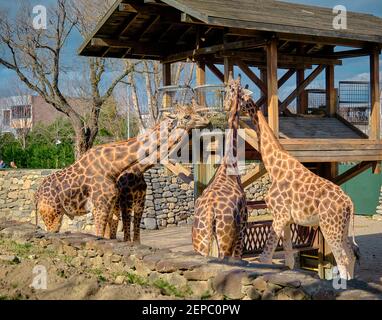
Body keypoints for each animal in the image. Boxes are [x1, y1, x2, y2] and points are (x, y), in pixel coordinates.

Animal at [35, 106, 209, 239]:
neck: (114, 167)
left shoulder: (126, 203)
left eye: (194, 111)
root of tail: (36, 194)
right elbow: (104, 236)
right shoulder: (105, 205)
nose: (206, 120)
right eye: (186, 116)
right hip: (52, 214)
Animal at [242, 95, 358, 280]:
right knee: (351, 256)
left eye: (239, 97)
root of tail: (349, 203)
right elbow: (289, 257)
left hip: (330, 226)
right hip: (343, 227)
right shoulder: (287, 219)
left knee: (343, 259)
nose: (227, 107)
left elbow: (265, 257)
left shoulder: (279, 214)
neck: (275, 168)